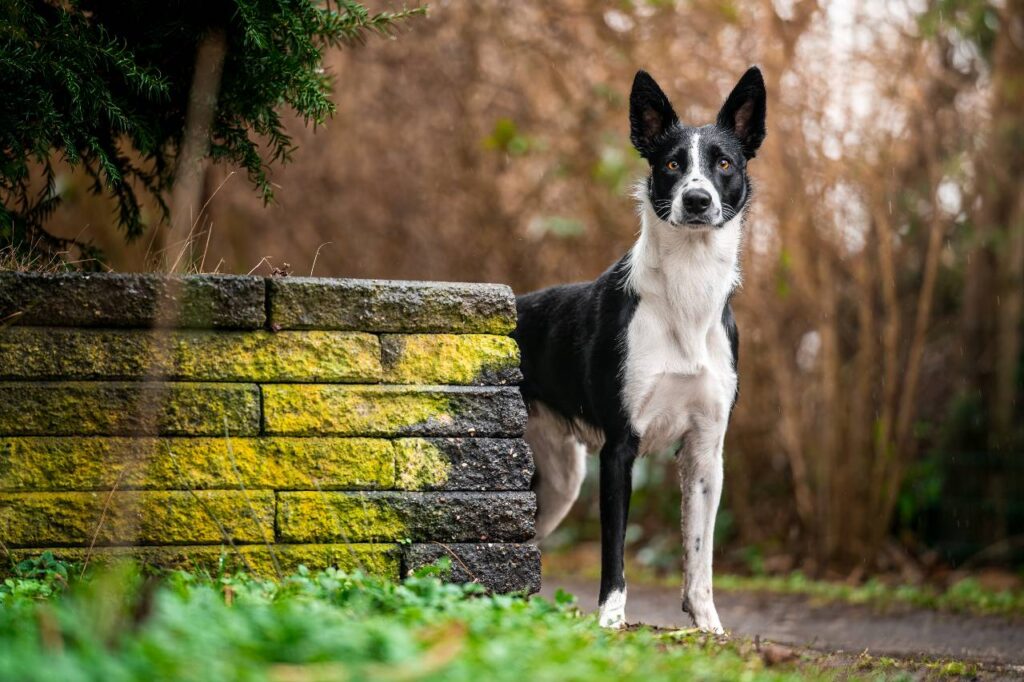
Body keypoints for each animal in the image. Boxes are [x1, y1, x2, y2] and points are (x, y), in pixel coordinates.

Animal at [516, 66, 765, 630]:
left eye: (724, 163)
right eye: (672, 164)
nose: (697, 201)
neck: (686, 296)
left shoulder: (705, 452)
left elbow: (700, 556)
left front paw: (709, 627)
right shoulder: (619, 448)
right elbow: (615, 549)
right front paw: (610, 621)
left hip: (560, 479)